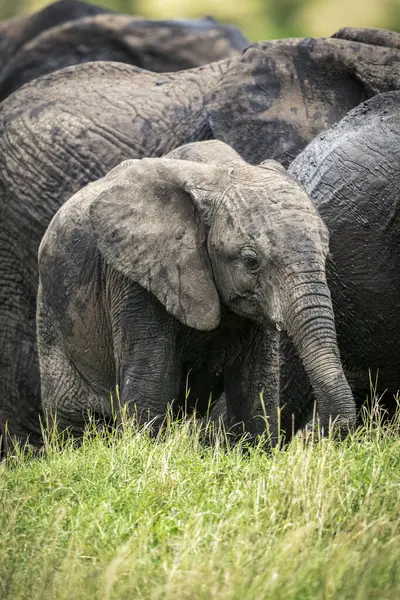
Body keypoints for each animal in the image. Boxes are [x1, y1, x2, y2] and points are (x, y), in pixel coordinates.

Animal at [35, 141, 354, 446]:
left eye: (326, 254)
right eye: (251, 261)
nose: (317, 435)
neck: (218, 173)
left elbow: (255, 387)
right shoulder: (136, 277)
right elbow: (151, 385)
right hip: (51, 320)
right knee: (73, 425)